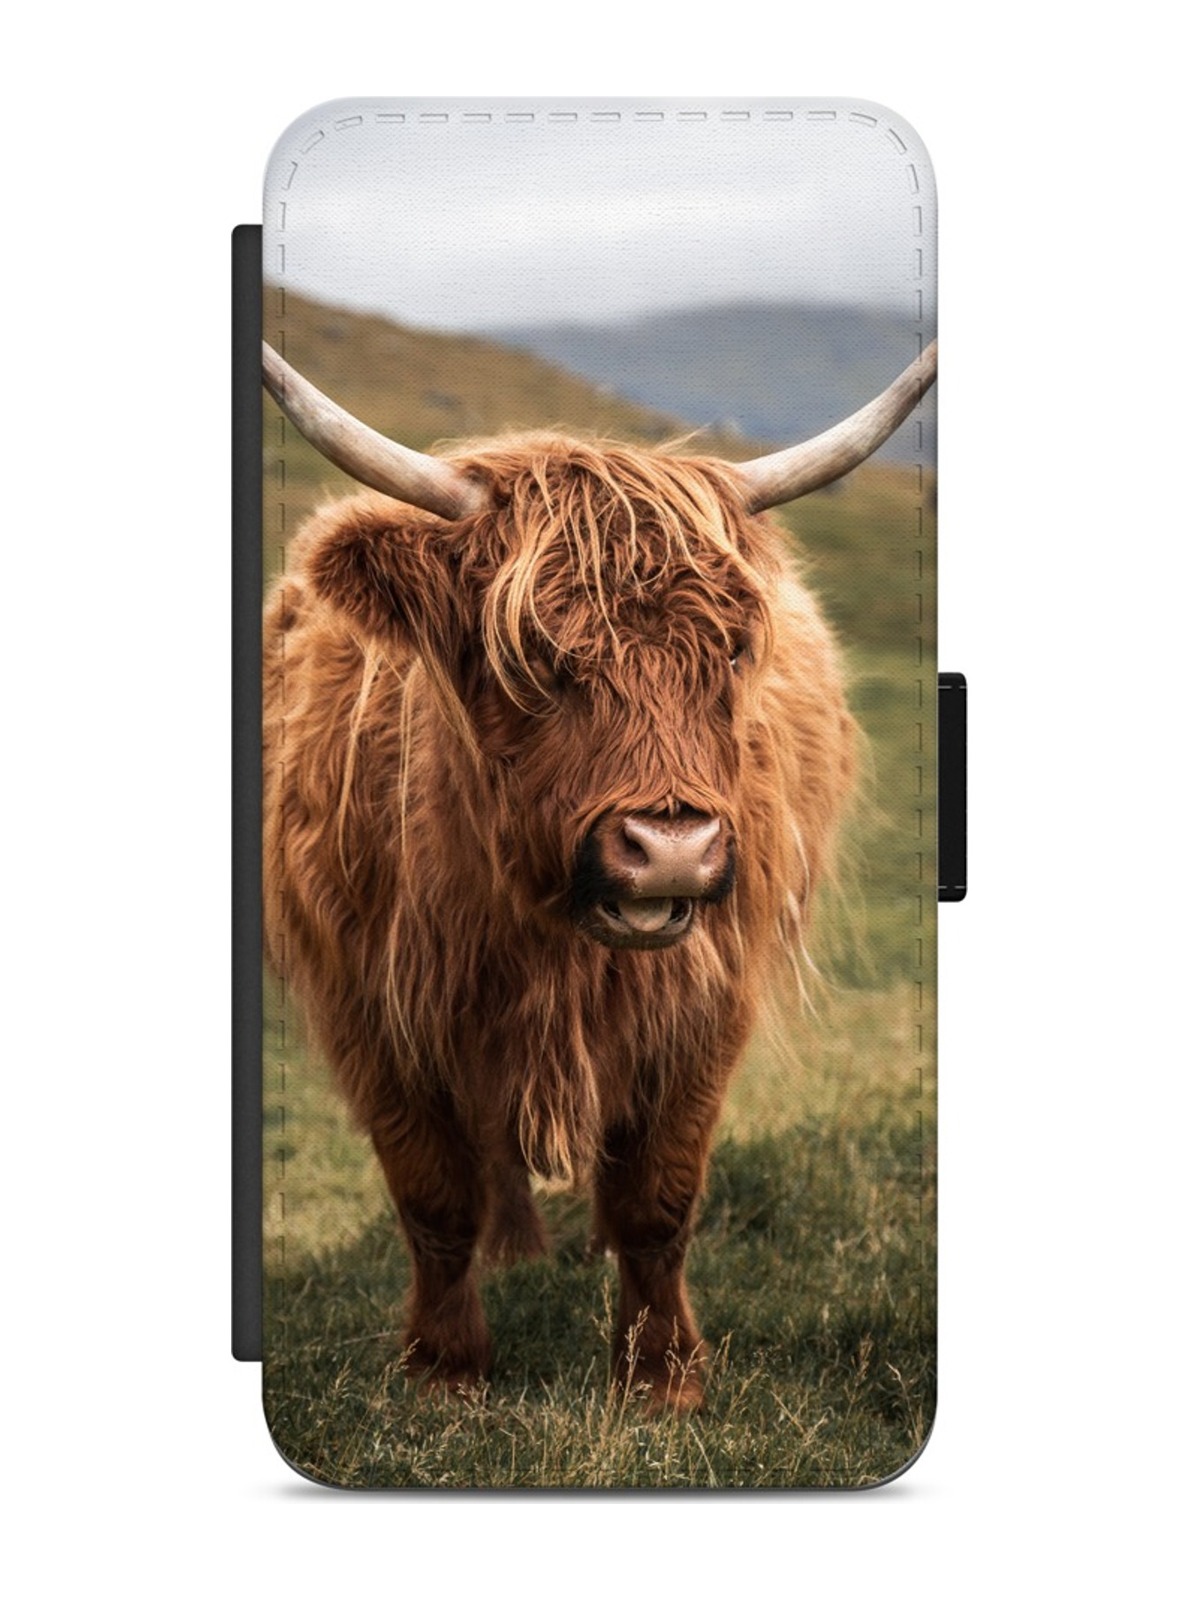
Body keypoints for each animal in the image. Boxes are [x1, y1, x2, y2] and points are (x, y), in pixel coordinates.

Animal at [262, 337, 936, 1412]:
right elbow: (432, 1195)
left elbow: (658, 1199)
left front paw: (661, 1378)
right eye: (533, 654)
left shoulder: (705, 1004)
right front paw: (444, 1369)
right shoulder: (369, 1004)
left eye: (731, 650)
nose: (671, 849)